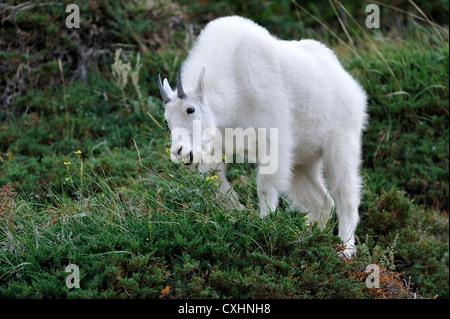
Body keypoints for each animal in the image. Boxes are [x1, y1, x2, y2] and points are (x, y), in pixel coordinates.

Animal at [156, 16, 368, 258]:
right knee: (322, 203)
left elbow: (265, 186)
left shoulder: (272, 142)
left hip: (342, 143)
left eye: (190, 110)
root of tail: (349, 82)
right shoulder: (219, 145)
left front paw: (265, 225)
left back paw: (345, 249)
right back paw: (306, 238)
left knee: (346, 197)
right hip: (303, 160)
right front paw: (239, 214)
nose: (179, 152)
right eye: (166, 120)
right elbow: (216, 180)